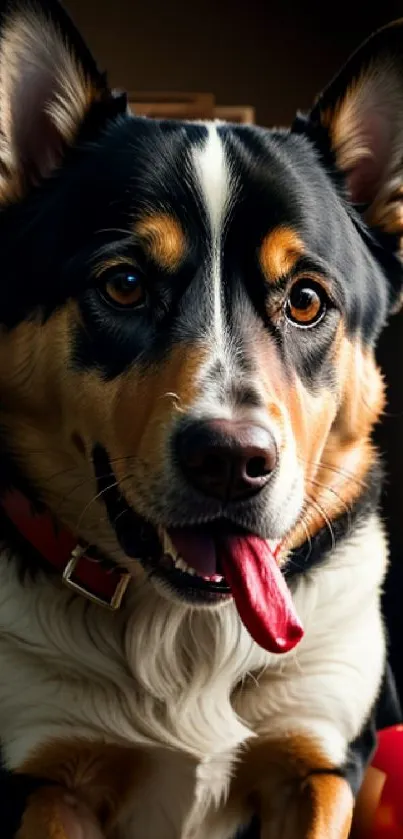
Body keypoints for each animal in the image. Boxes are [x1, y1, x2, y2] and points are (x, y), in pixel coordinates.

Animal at [0, 0, 400, 836]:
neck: (186, 632)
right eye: (123, 283)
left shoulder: (320, 765)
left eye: (305, 299)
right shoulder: (48, 780)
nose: (231, 460)